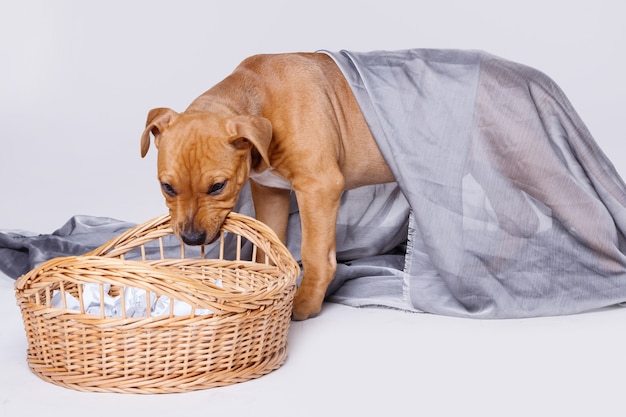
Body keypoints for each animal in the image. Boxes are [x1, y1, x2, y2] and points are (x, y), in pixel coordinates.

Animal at [143, 52, 390, 318]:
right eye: (167, 187)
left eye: (218, 186)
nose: (191, 238)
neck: (262, 97)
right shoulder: (270, 192)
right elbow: (268, 245)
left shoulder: (319, 186)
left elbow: (314, 252)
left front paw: (305, 302)